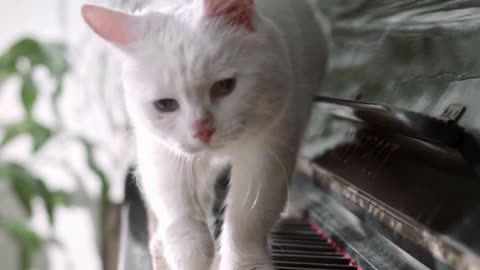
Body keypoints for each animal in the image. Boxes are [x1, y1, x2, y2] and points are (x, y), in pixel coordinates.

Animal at [81, 1, 326, 268]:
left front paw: (245, 263)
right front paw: (190, 256)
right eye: (165, 105)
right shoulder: (161, 151)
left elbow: (248, 219)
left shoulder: (270, 146)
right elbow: (180, 215)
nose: (202, 130)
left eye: (225, 86)